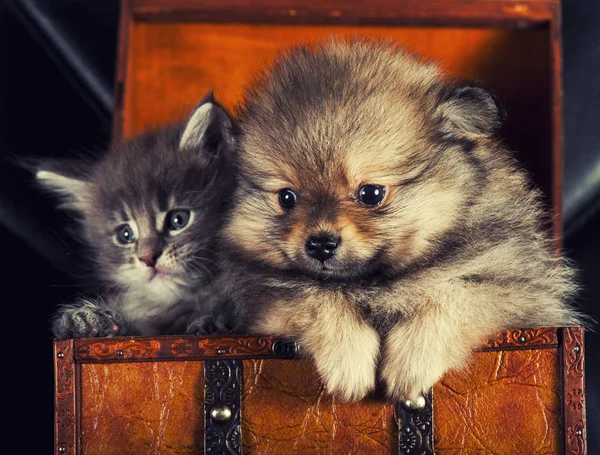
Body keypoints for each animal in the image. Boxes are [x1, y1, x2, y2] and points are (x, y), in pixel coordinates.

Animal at [216, 40, 580, 402]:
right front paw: (348, 358)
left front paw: (413, 361)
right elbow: (316, 297)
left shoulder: (516, 290)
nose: (320, 243)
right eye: (287, 198)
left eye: (371, 193)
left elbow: (455, 293)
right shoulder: (260, 294)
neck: (377, 282)